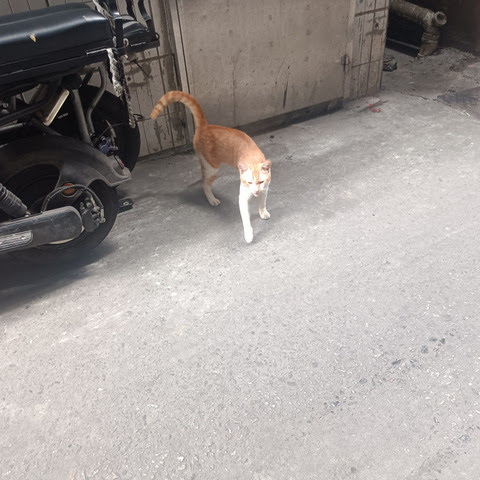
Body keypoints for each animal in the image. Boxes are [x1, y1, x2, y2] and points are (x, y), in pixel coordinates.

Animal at [151, 91, 271, 243]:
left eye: (261, 181)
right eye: (249, 182)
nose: (255, 191)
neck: (253, 157)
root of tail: (205, 126)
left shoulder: (265, 189)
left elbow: (262, 202)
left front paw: (262, 212)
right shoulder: (243, 198)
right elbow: (246, 219)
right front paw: (249, 234)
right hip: (212, 167)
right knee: (204, 183)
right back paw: (211, 199)